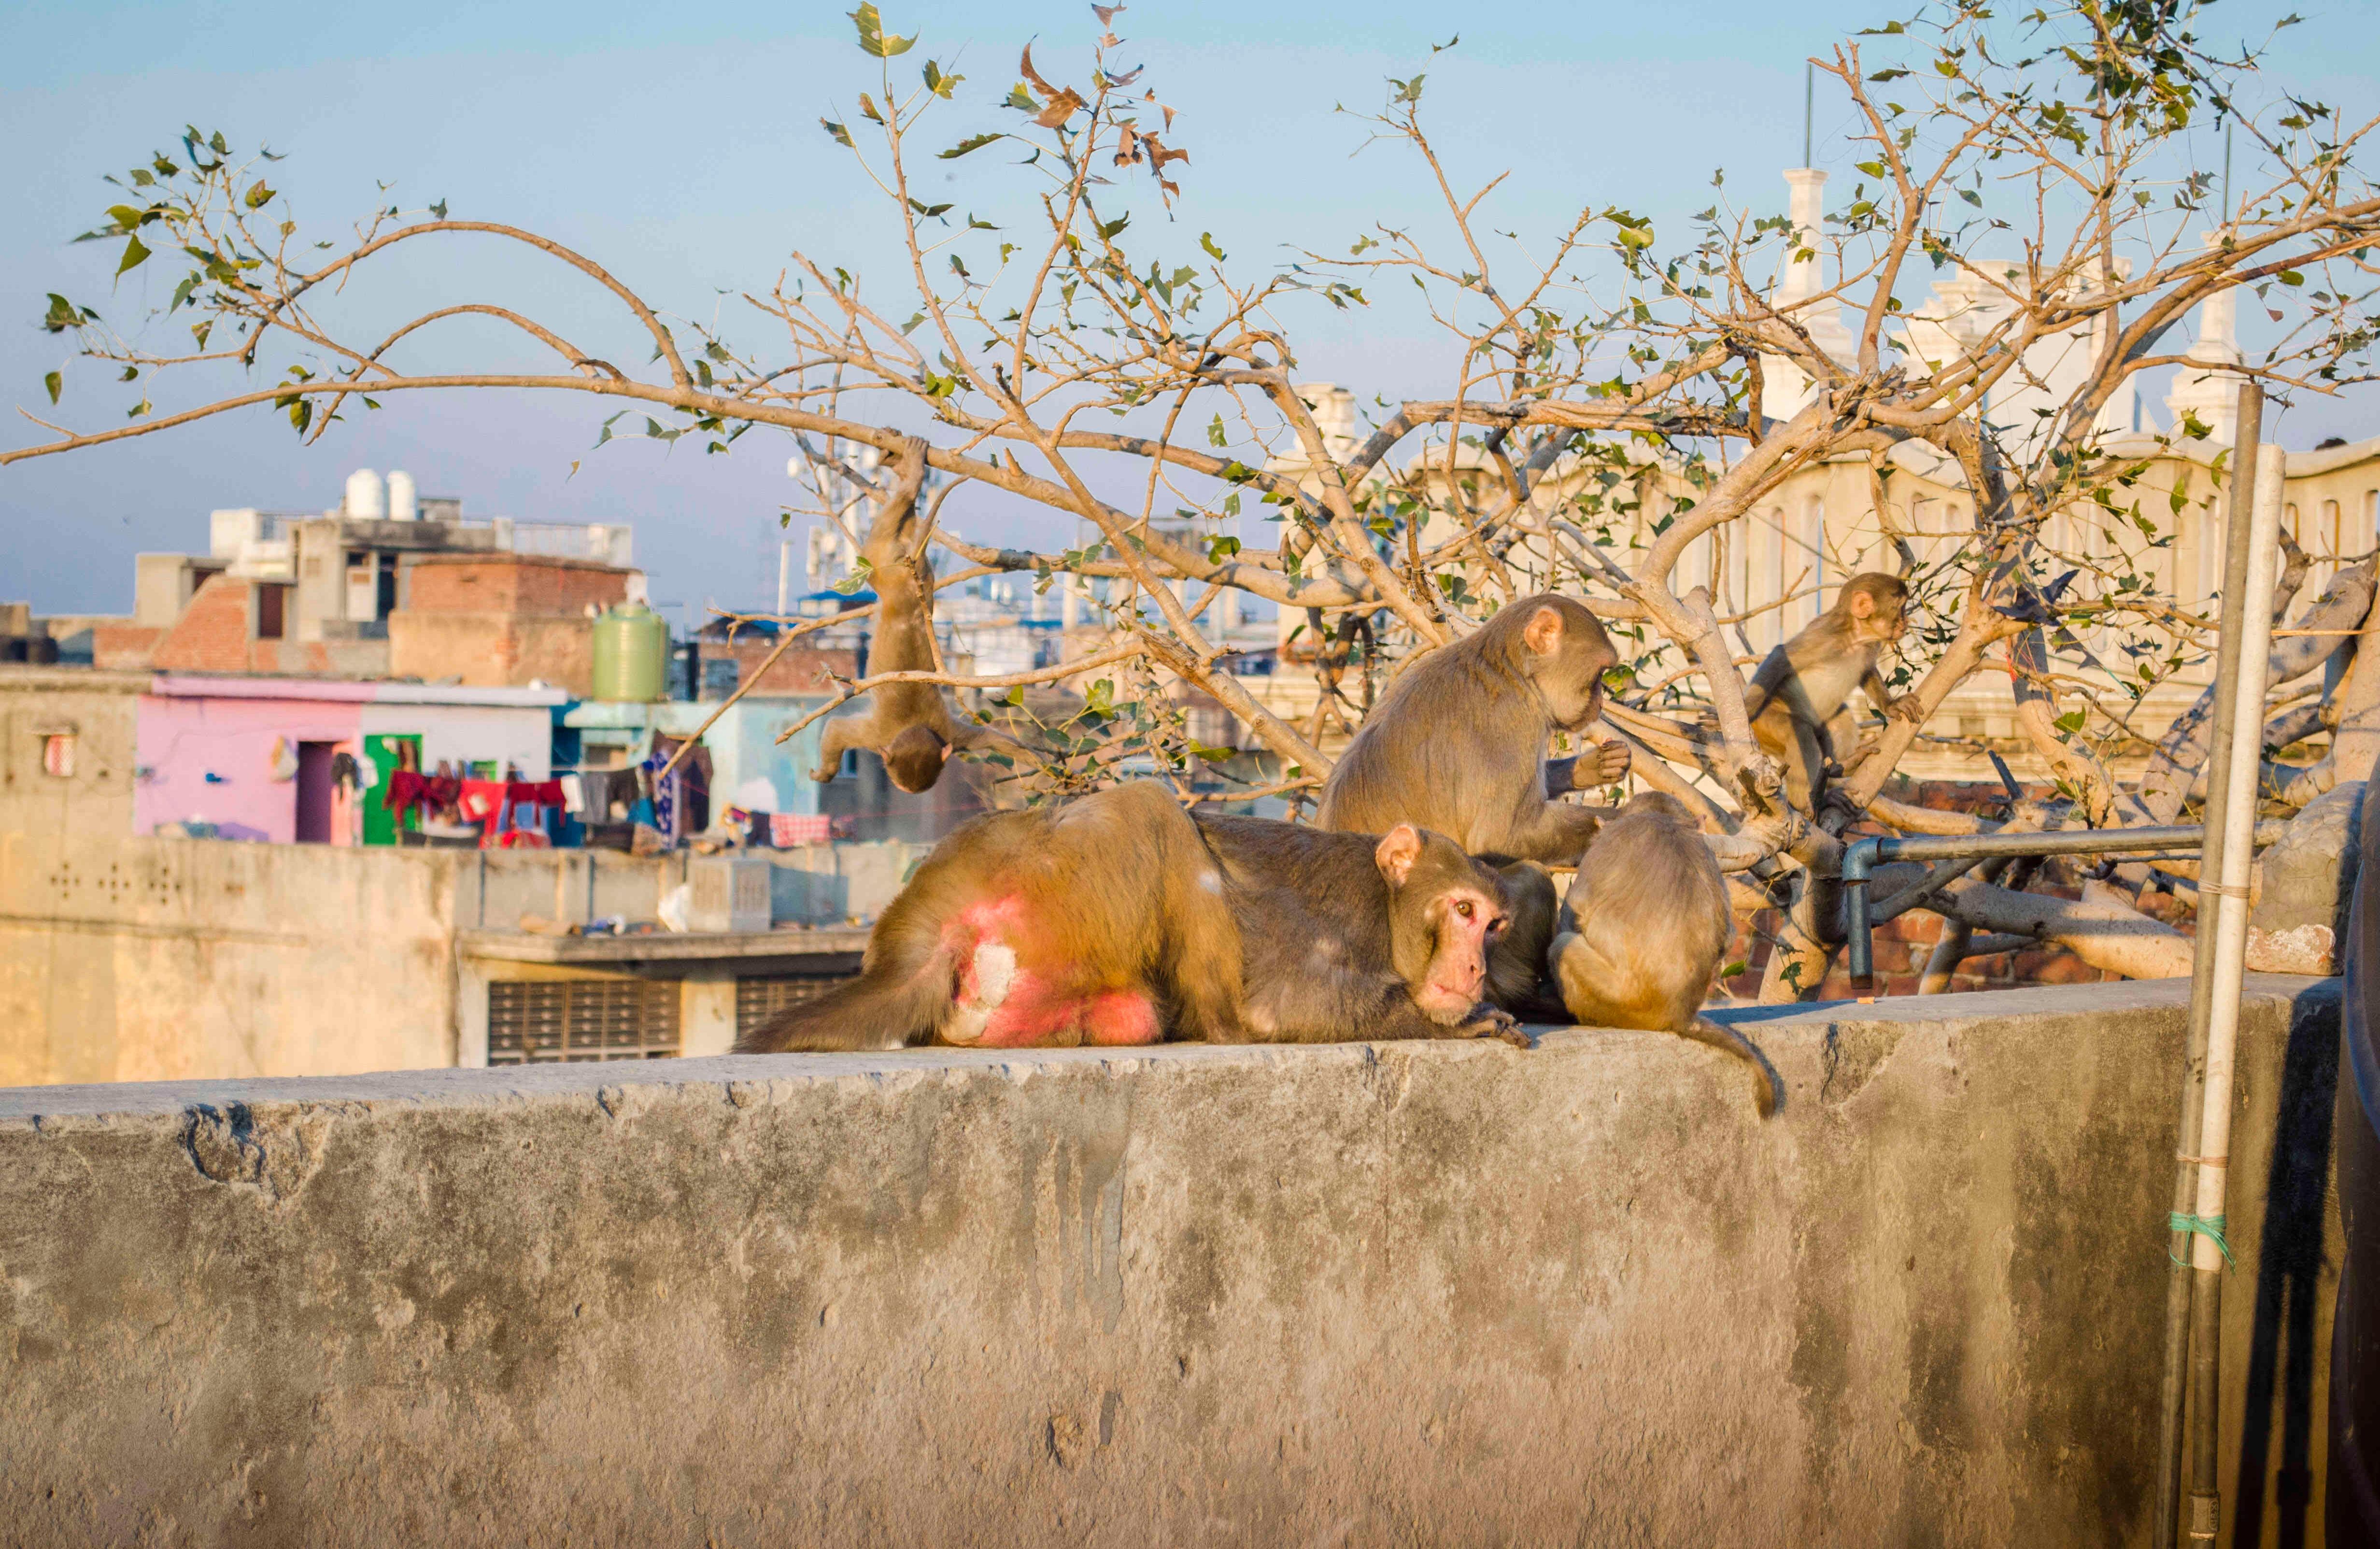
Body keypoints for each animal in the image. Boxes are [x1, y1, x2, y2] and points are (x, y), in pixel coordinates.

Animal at [810, 436, 1019, 794]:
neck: (915, 727)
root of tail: (910, 581)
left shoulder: (950, 736)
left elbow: (994, 740)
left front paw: (1042, 759)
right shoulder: (879, 736)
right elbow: (837, 728)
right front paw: (825, 773)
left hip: (905, 572)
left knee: (904, 523)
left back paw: (907, 476)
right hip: (884, 565)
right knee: (888, 531)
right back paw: (908, 481)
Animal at [1546, 791, 1779, 1117]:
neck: (1663, 819)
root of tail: (1678, 1016)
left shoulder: (1608, 844)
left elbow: (1576, 908)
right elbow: (1728, 934)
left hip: (1619, 1003)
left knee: (1563, 946)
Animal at [1742, 571, 1916, 813]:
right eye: (1899, 608)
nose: (1906, 621)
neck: (1856, 637)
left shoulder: (1870, 646)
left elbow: (1867, 672)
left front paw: (1892, 705)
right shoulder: (1826, 637)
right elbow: (1779, 657)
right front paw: (1744, 709)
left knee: (1840, 720)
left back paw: (1840, 768)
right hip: (1766, 722)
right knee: (1799, 733)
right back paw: (1806, 804)